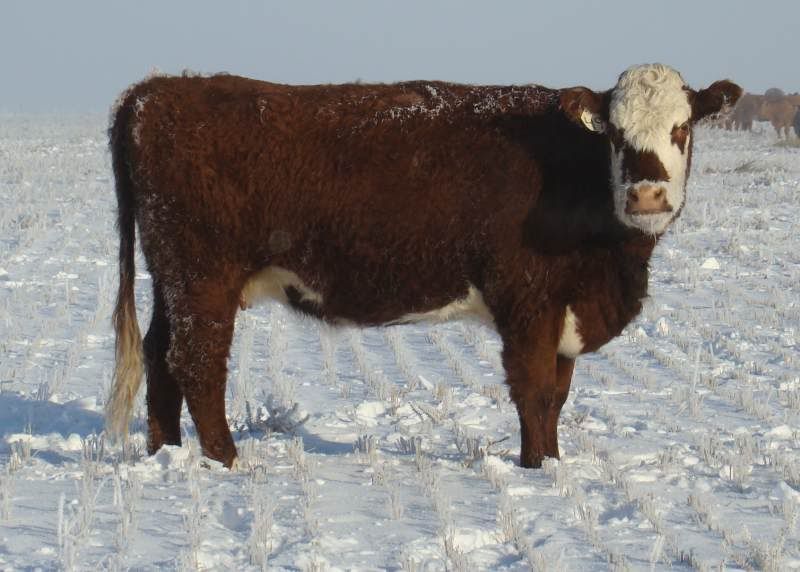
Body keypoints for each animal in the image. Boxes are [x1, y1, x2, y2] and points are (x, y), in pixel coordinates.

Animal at [106, 64, 741, 469]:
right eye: (613, 132)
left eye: (683, 127)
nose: (647, 196)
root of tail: (154, 91)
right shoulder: (527, 301)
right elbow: (534, 393)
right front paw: (536, 469)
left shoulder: (562, 309)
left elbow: (558, 396)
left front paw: (556, 464)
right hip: (203, 277)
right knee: (197, 364)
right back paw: (229, 462)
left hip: (173, 279)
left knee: (161, 356)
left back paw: (167, 454)